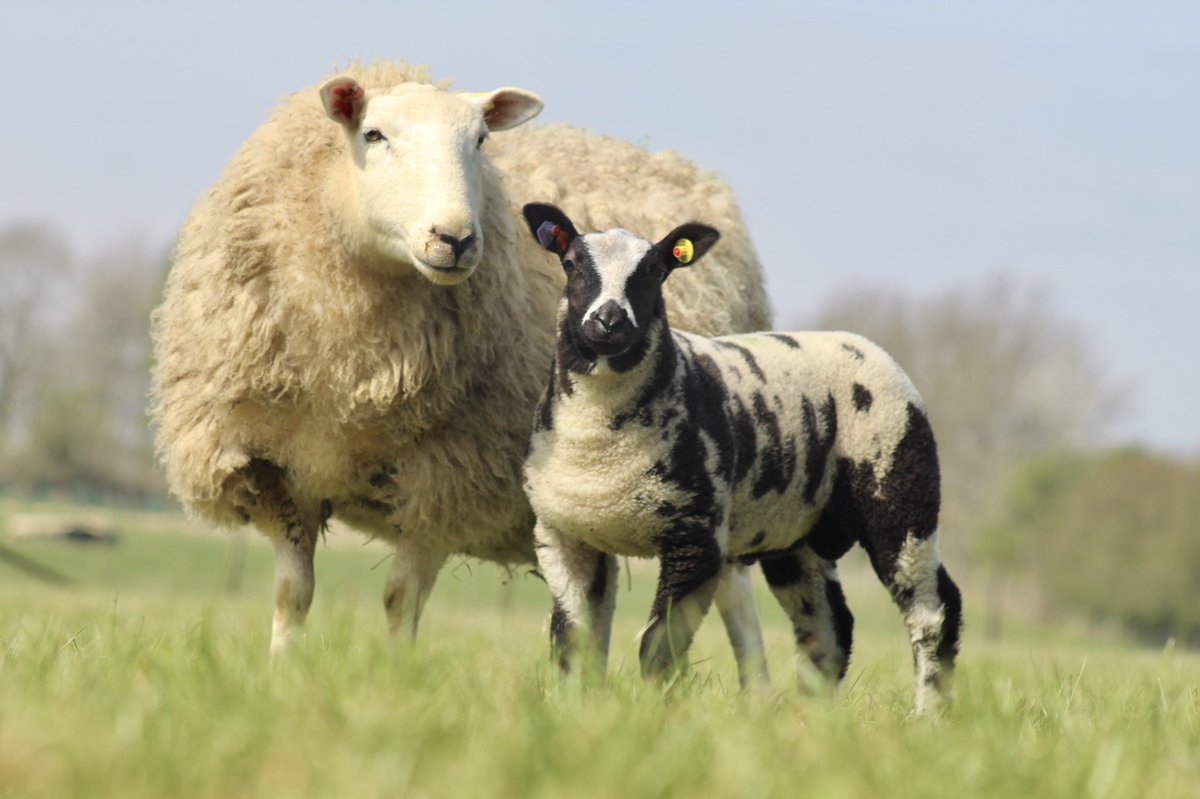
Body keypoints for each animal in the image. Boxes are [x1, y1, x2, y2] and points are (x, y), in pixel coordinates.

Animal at [149, 61, 772, 656]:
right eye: (373, 134)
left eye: (479, 140)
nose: (454, 239)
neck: (349, 374)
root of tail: (687, 171)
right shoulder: (278, 472)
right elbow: (291, 596)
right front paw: (279, 675)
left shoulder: (445, 479)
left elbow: (400, 601)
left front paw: (399, 676)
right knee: (601, 602)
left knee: (739, 608)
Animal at [520, 203, 963, 713]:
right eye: (572, 265)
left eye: (654, 272)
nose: (609, 321)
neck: (600, 450)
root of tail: (868, 348)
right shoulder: (565, 537)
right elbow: (570, 643)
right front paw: (570, 711)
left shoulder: (696, 539)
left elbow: (659, 645)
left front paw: (654, 715)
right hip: (798, 531)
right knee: (829, 626)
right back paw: (812, 718)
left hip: (900, 493)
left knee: (933, 610)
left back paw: (927, 715)